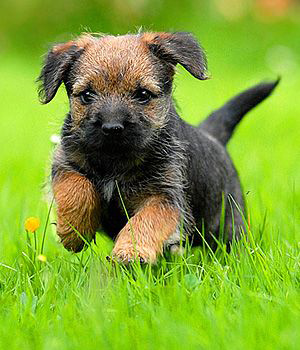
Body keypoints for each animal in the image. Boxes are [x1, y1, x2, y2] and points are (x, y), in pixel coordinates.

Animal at [37, 32, 278, 262]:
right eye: (87, 95)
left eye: (143, 94)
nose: (112, 127)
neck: (115, 161)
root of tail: (214, 137)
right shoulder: (65, 162)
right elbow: (77, 187)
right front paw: (73, 232)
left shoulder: (165, 196)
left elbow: (147, 219)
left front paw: (131, 252)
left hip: (229, 224)